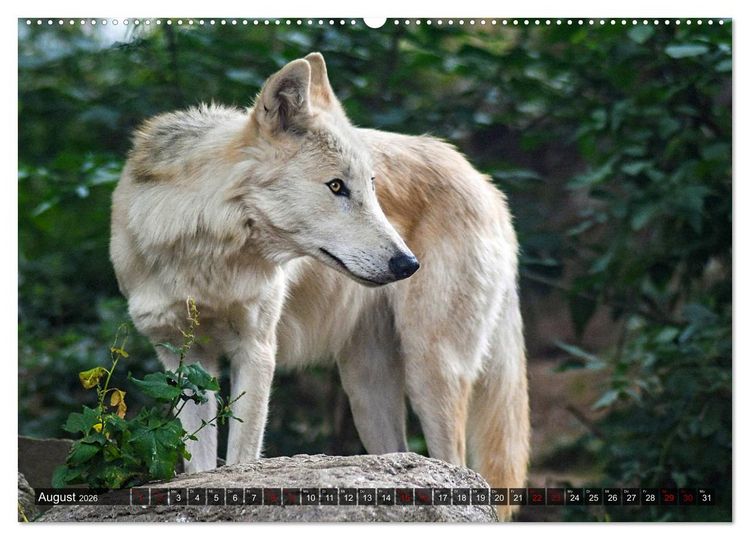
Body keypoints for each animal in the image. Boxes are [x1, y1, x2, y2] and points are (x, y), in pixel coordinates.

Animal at [111, 53, 529, 519]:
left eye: (372, 187)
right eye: (336, 186)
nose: (408, 264)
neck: (204, 251)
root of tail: (487, 185)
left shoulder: (257, 350)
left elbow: (240, 458)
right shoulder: (182, 361)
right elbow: (197, 466)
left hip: (431, 369)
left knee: (456, 465)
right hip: (366, 391)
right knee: (401, 456)